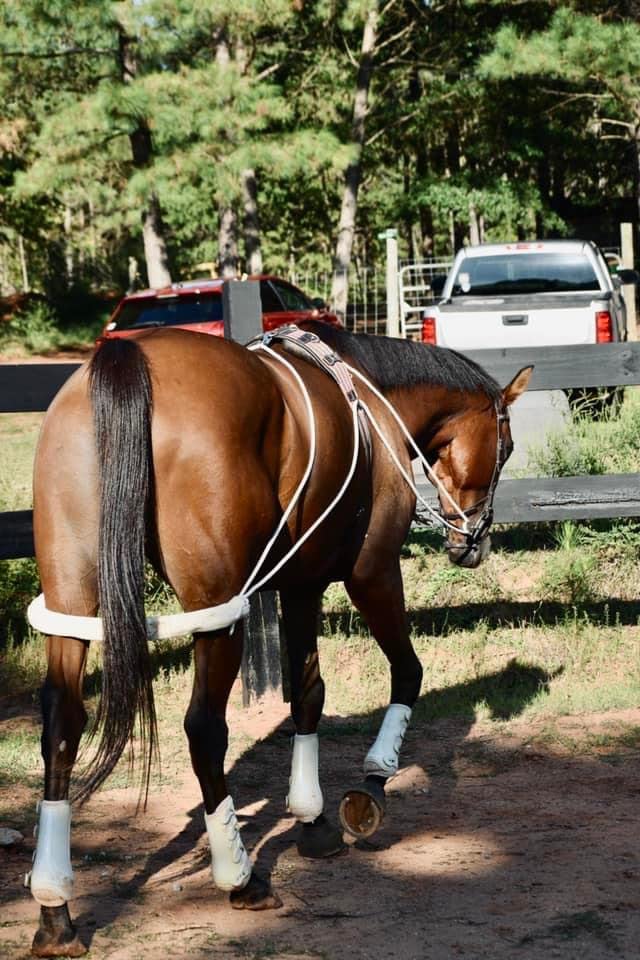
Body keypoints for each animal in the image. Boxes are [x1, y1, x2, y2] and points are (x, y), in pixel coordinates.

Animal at [25, 320, 531, 957]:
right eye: (505, 448)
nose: (473, 542)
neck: (374, 402)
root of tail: (129, 357)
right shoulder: (370, 574)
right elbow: (404, 673)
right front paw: (372, 783)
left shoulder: (300, 584)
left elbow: (307, 694)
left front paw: (311, 821)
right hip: (220, 612)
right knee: (203, 729)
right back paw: (239, 878)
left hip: (73, 602)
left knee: (62, 728)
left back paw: (55, 908)